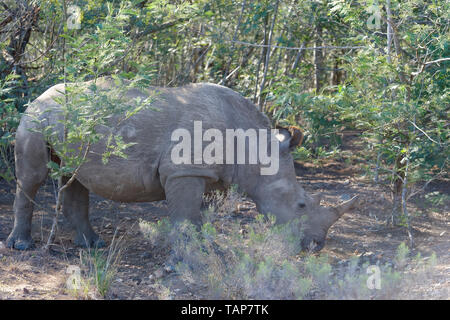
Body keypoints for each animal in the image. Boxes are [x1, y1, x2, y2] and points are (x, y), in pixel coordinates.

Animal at [7, 77, 356, 250]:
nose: (316, 246)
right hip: (37, 117)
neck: (255, 145)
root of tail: (38, 95)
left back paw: (93, 246)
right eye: (301, 205)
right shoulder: (185, 171)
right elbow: (186, 216)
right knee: (33, 177)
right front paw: (185, 257)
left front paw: (207, 250)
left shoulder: (211, 174)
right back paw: (22, 246)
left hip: (63, 120)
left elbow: (202, 217)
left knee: (74, 175)